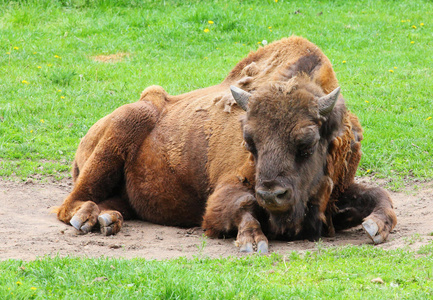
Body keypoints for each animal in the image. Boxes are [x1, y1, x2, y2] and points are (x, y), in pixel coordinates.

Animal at [56, 35, 394, 253]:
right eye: (249, 141)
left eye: (307, 142)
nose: (271, 194)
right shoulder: (227, 190)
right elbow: (239, 205)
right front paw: (252, 242)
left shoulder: (337, 192)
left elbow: (379, 195)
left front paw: (376, 227)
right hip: (123, 130)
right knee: (69, 204)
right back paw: (88, 219)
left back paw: (108, 220)